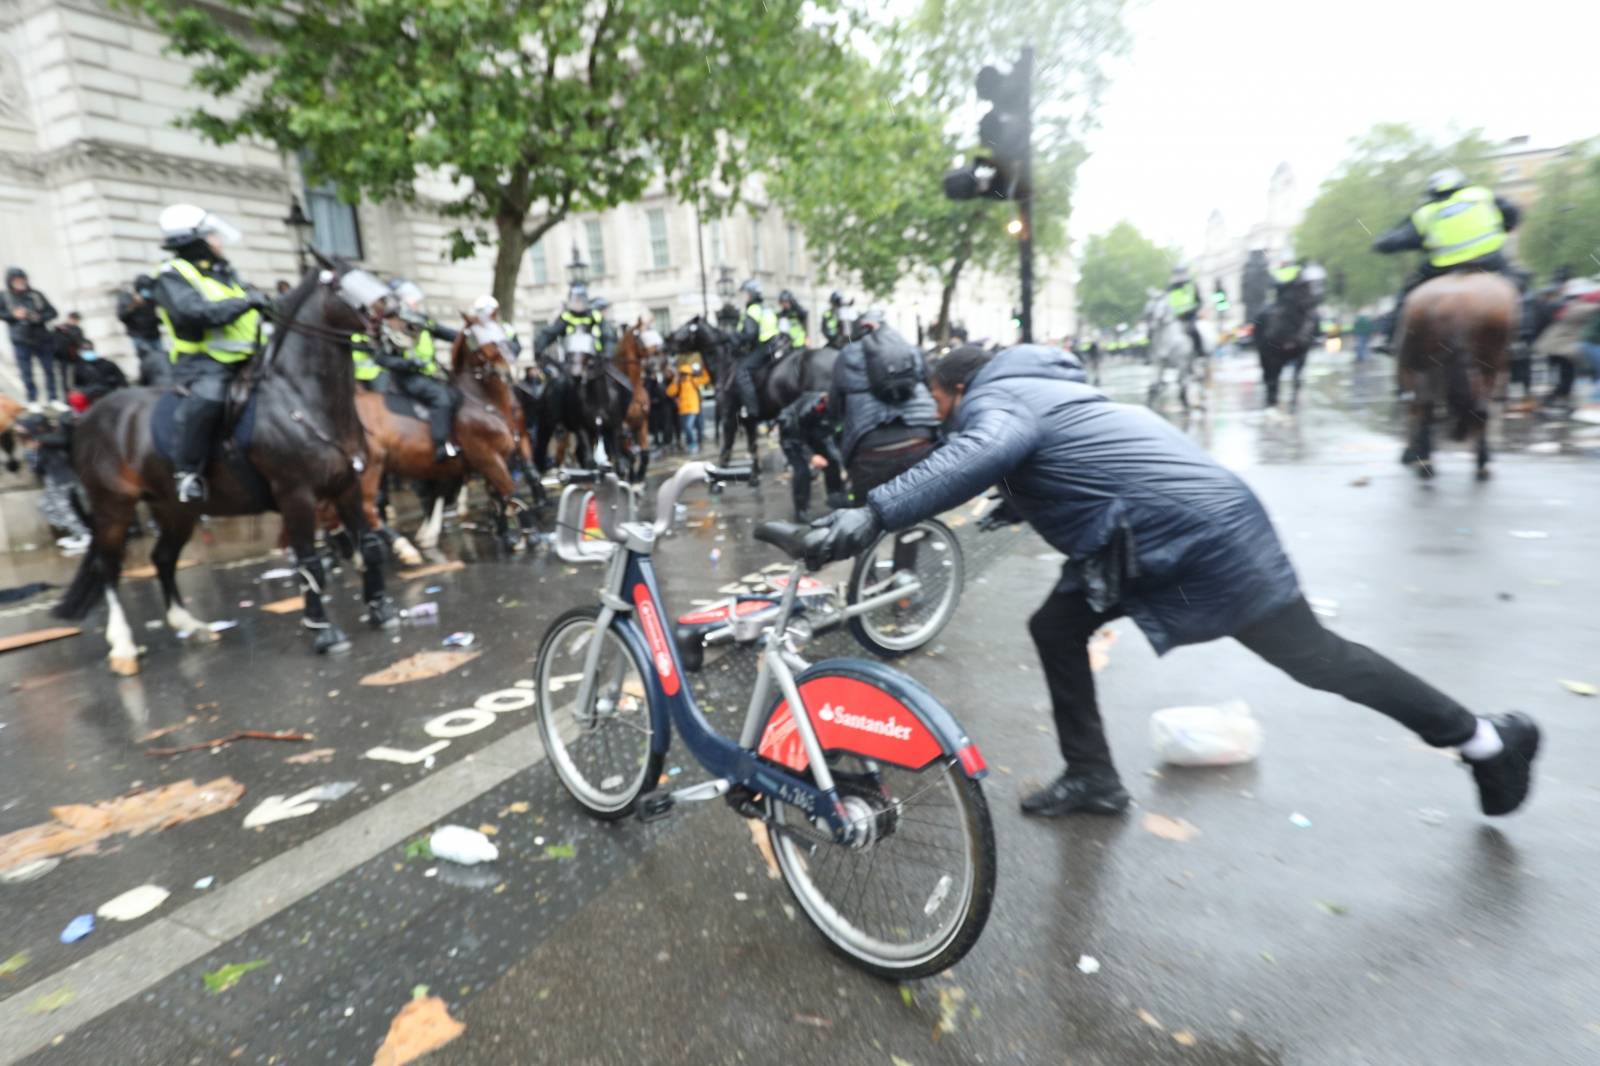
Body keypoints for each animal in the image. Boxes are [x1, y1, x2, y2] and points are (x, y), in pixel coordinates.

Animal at [57, 257, 396, 669]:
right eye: (344, 285)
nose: (396, 313)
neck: (303, 400)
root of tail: (88, 418)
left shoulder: (347, 486)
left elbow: (369, 546)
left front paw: (380, 610)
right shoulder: (295, 496)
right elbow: (309, 561)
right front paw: (324, 632)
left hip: (175, 509)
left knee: (162, 558)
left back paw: (190, 624)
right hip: (113, 507)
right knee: (108, 566)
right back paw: (122, 646)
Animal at [352, 313, 537, 557]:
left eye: (498, 329)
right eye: (476, 339)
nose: (506, 371)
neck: (485, 403)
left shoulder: (504, 453)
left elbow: (500, 494)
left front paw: (509, 534)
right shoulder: (487, 458)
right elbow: (509, 492)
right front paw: (522, 535)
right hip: (371, 469)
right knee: (366, 508)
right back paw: (404, 547)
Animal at [1395, 272, 1516, 480]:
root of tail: (1457, 303)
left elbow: (1415, 411)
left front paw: (1413, 452)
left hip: (1426, 369)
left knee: (1425, 409)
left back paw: (1425, 460)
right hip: (1485, 366)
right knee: (1479, 409)